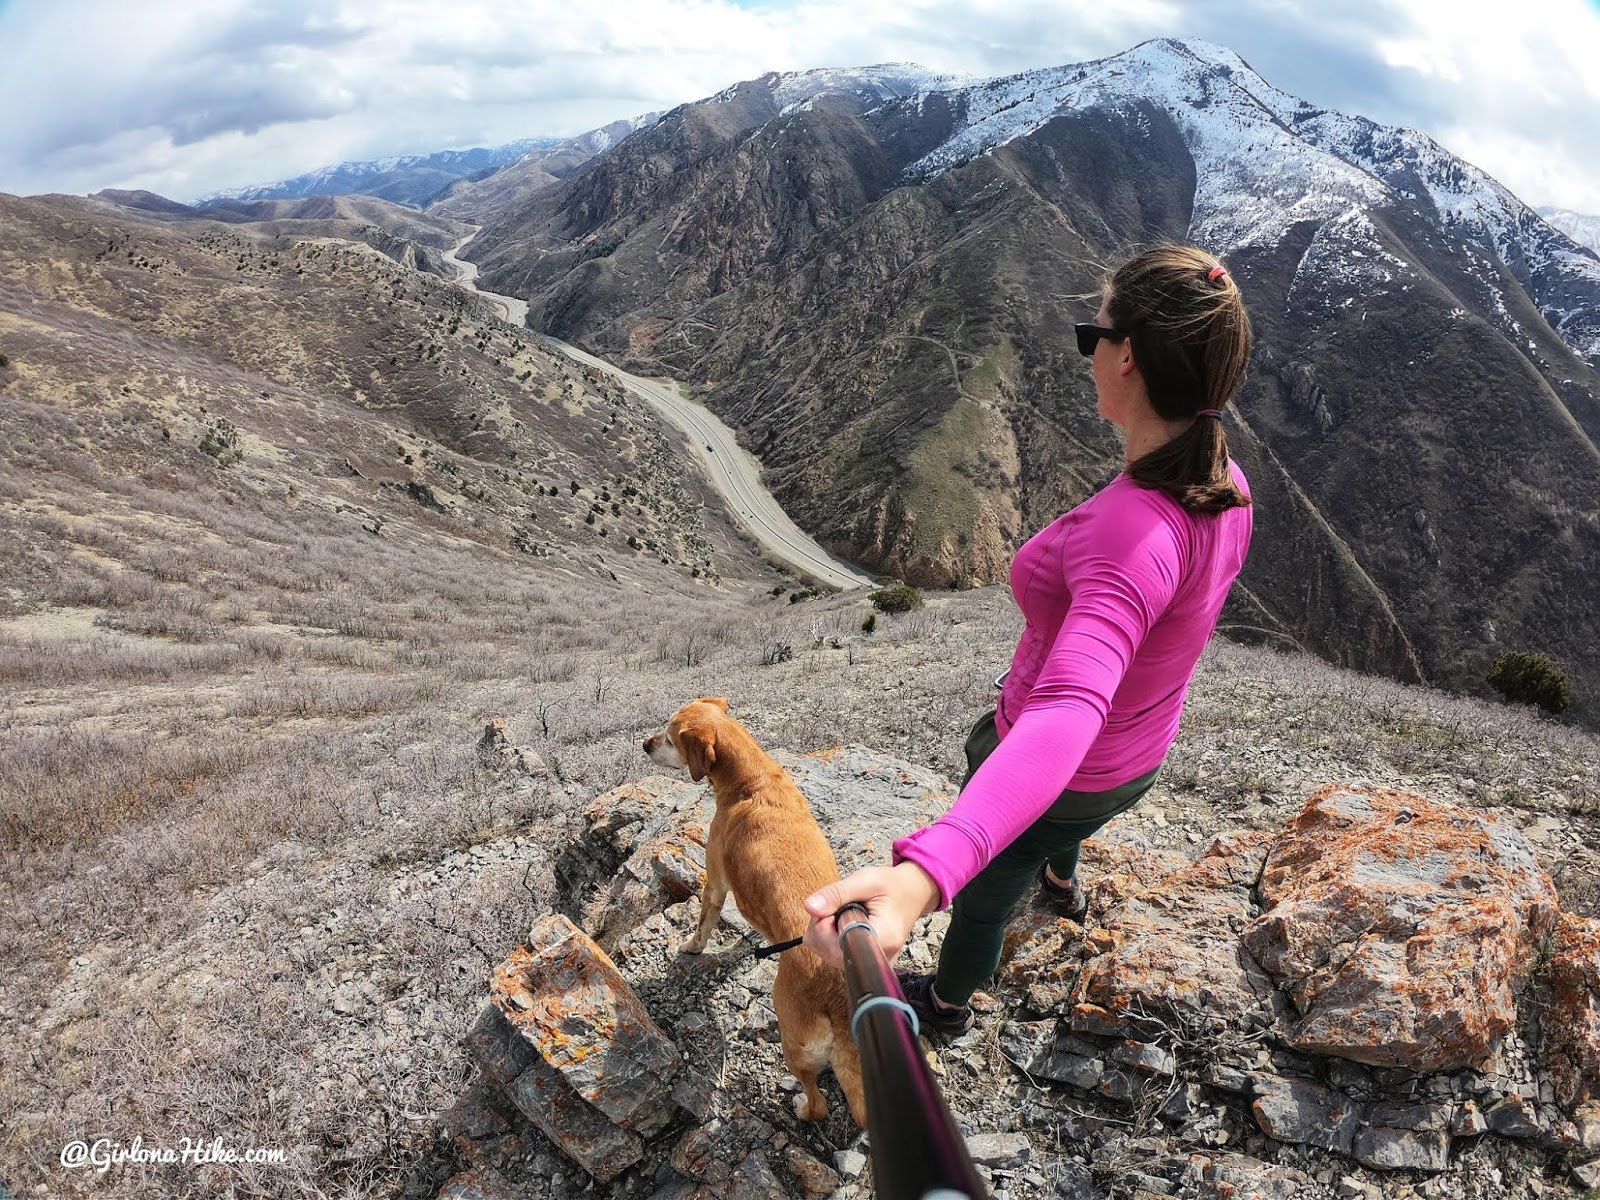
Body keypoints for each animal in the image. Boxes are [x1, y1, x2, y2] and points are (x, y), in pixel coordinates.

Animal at [640, 694, 864, 1126]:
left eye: (670, 739)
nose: (644, 745)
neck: (751, 781)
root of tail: (838, 993)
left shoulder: (715, 883)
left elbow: (703, 925)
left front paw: (691, 947)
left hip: (793, 1043)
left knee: (818, 1103)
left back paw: (802, 1107)